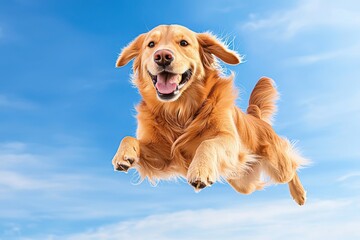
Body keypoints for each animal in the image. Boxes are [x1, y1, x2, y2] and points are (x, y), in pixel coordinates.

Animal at [111, 23, 308, 204]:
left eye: (184, 43)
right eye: (151, 44)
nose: (162, 56)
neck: (179, 112)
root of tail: (256, 117)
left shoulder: (230, 140)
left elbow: (207, 143)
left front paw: (200, 170)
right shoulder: (163, 157)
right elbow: (129, 138)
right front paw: (124, 155)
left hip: (277, 166)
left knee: (292, 167)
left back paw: (300, 194)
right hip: (243, 181)